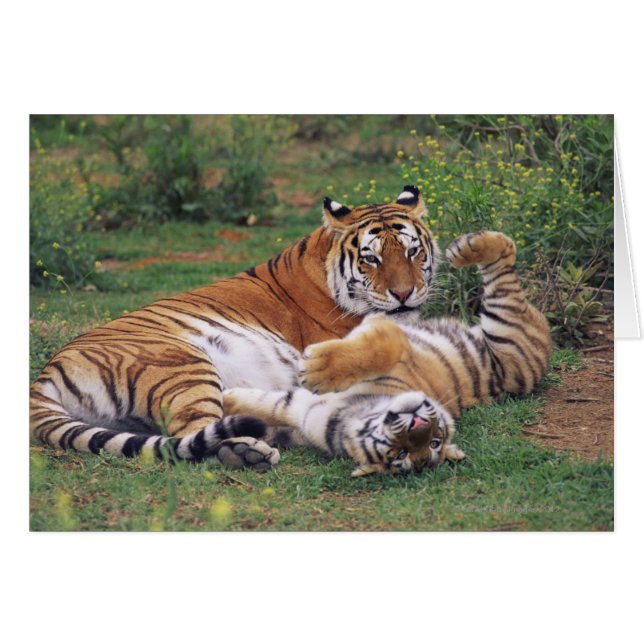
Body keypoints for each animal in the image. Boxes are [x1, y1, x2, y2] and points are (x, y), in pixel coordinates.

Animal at [29, 186, 439, 470]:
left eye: (412, 251)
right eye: (371, 259)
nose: (403, 294)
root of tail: (46, 374)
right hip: (183, 364)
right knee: (193, 437)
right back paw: (248, 451)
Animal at [223, 230, 553, 476]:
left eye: (432, 443)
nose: (418, 422)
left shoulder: (386, 327)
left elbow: (382, 345)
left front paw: (316, 369)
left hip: (506, 326)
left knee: (506, 262)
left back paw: (471, 249)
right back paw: (465, 246)